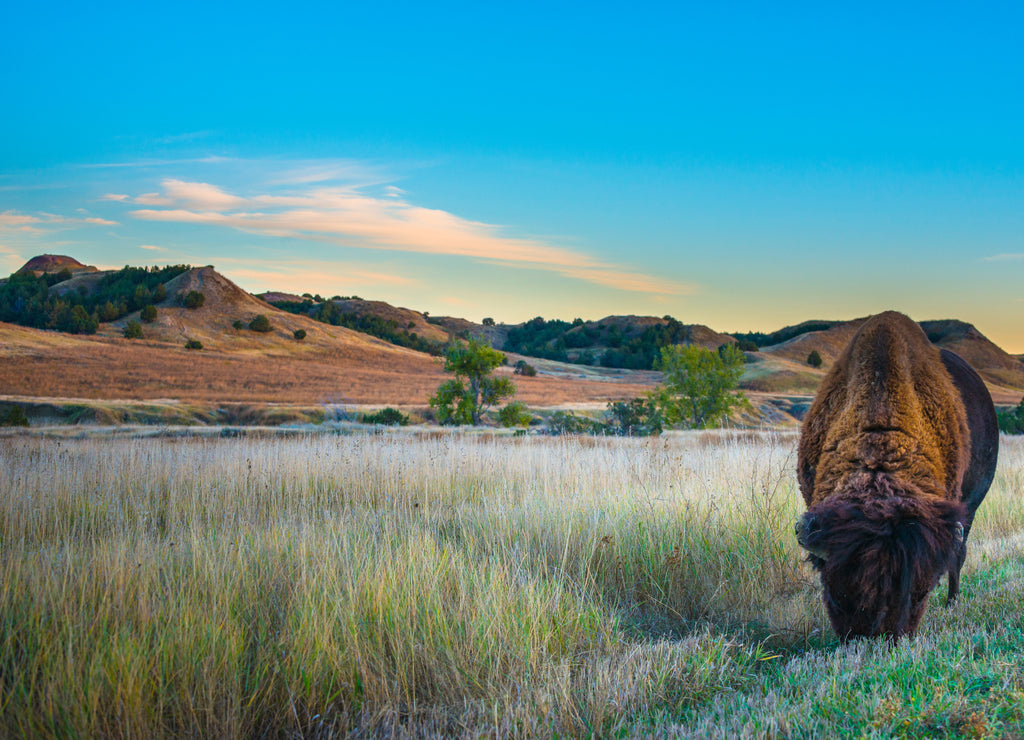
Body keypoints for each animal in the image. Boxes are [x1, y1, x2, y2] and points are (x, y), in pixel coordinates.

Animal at [794, 309, 995, 638]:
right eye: (835, 595)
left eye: (919, 594)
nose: (877, 638)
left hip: (971, 509)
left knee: (959, 554)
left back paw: (952, 603)